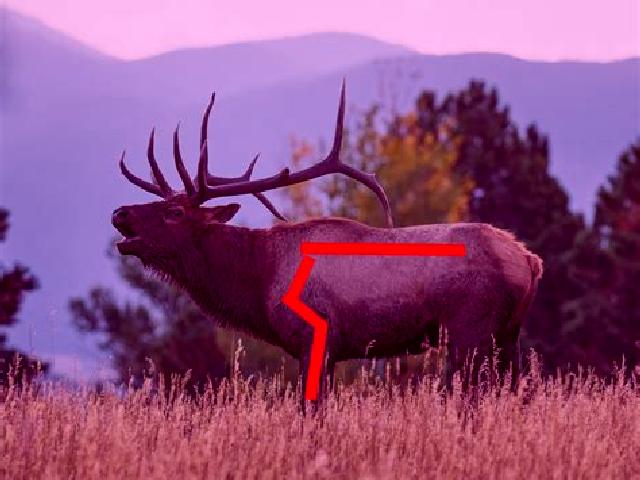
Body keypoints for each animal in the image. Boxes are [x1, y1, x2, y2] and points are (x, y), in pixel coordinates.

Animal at [112, 82, 543, 406]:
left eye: (176, 212)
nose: (120, 213)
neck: (259, 282)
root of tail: (530, 260)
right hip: (509, 335)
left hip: (469, 330)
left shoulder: (316, 339)